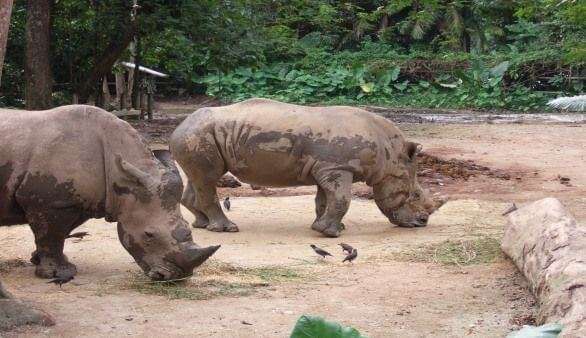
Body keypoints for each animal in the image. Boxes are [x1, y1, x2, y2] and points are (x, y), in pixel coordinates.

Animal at [0, 105, 219, 280]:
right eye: (149, 234)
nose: (176, 276)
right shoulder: (47, 201)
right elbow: (51, 235)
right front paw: (58, 274)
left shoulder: (76, 202)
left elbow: (59, 233)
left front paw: (39, 260)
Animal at [169, 97, 434, 238]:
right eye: (415, 194)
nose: (422, 223)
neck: (389, 155)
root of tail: (179, 126)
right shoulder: (338, 168)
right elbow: (342, 199)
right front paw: (331, 234)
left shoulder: (326, 169)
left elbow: (324, 200)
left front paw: (324, 227)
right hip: (198, 134)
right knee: (208, 178)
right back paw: (227, 229)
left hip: (199, 134)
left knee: (200, 178)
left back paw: (202, 225)